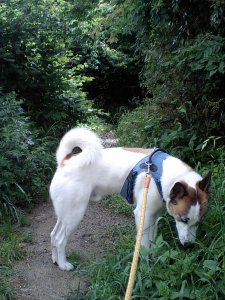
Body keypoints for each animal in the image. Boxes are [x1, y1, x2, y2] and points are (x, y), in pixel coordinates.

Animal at [49, 125, 211, 270]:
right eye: (183, 220)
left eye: (199, 221)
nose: (189, 246)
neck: (161, 175)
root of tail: (66, 160)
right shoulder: (143, 215)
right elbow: (144, 245)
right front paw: (145, 266)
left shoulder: (154, 216)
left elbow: (152, 240)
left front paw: (153, 257)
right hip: (74, 214)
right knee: (60, 239)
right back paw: (63, 264)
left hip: (66, 213)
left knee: (54, 234)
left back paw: (55, 260)